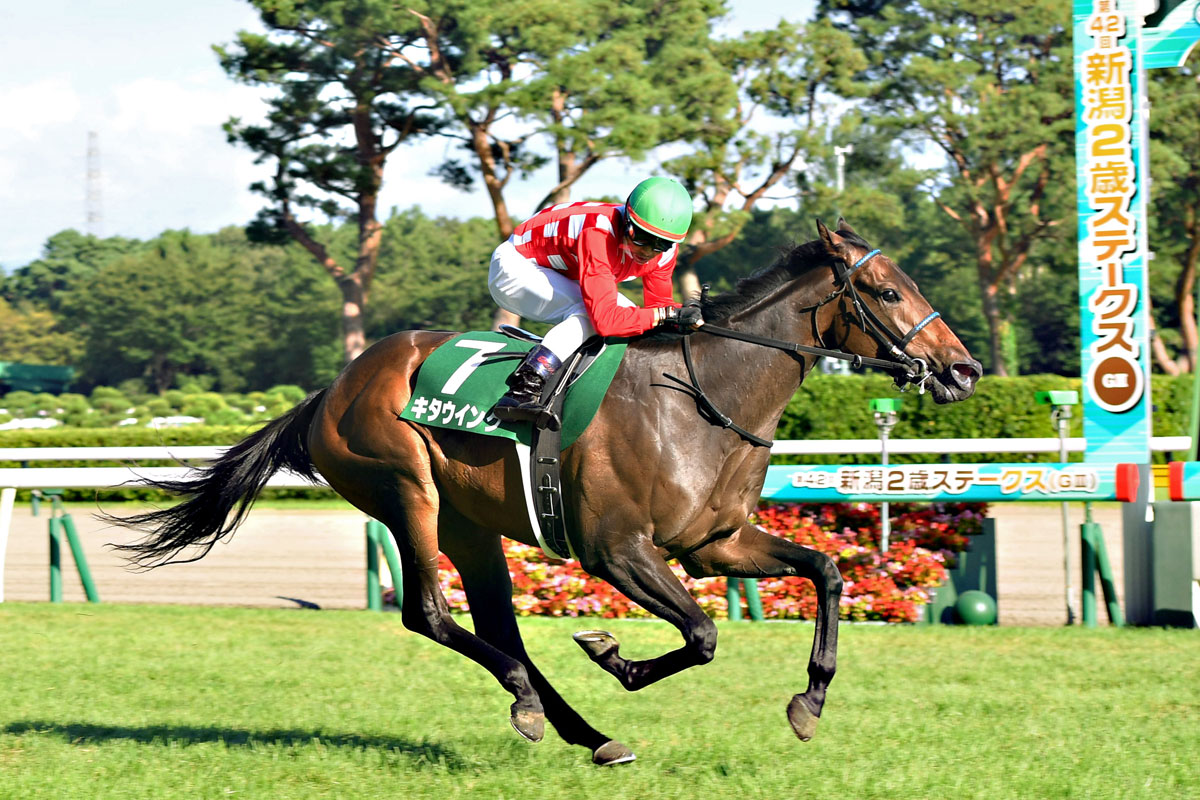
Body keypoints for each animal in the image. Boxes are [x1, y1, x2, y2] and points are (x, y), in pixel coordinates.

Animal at [110, 218, 981, 766]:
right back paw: (532, 704)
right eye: (890, 293)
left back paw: (586, 733)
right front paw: (615, 655)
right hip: (407, 490)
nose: (964, 369)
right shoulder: (616, 549)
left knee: (500, 627)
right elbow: (702, 635)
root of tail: (333, 386)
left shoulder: (714, 543)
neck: (700, 400)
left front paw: (810, 702)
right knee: (429, 614)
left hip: (469, 522)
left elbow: (826, 573)